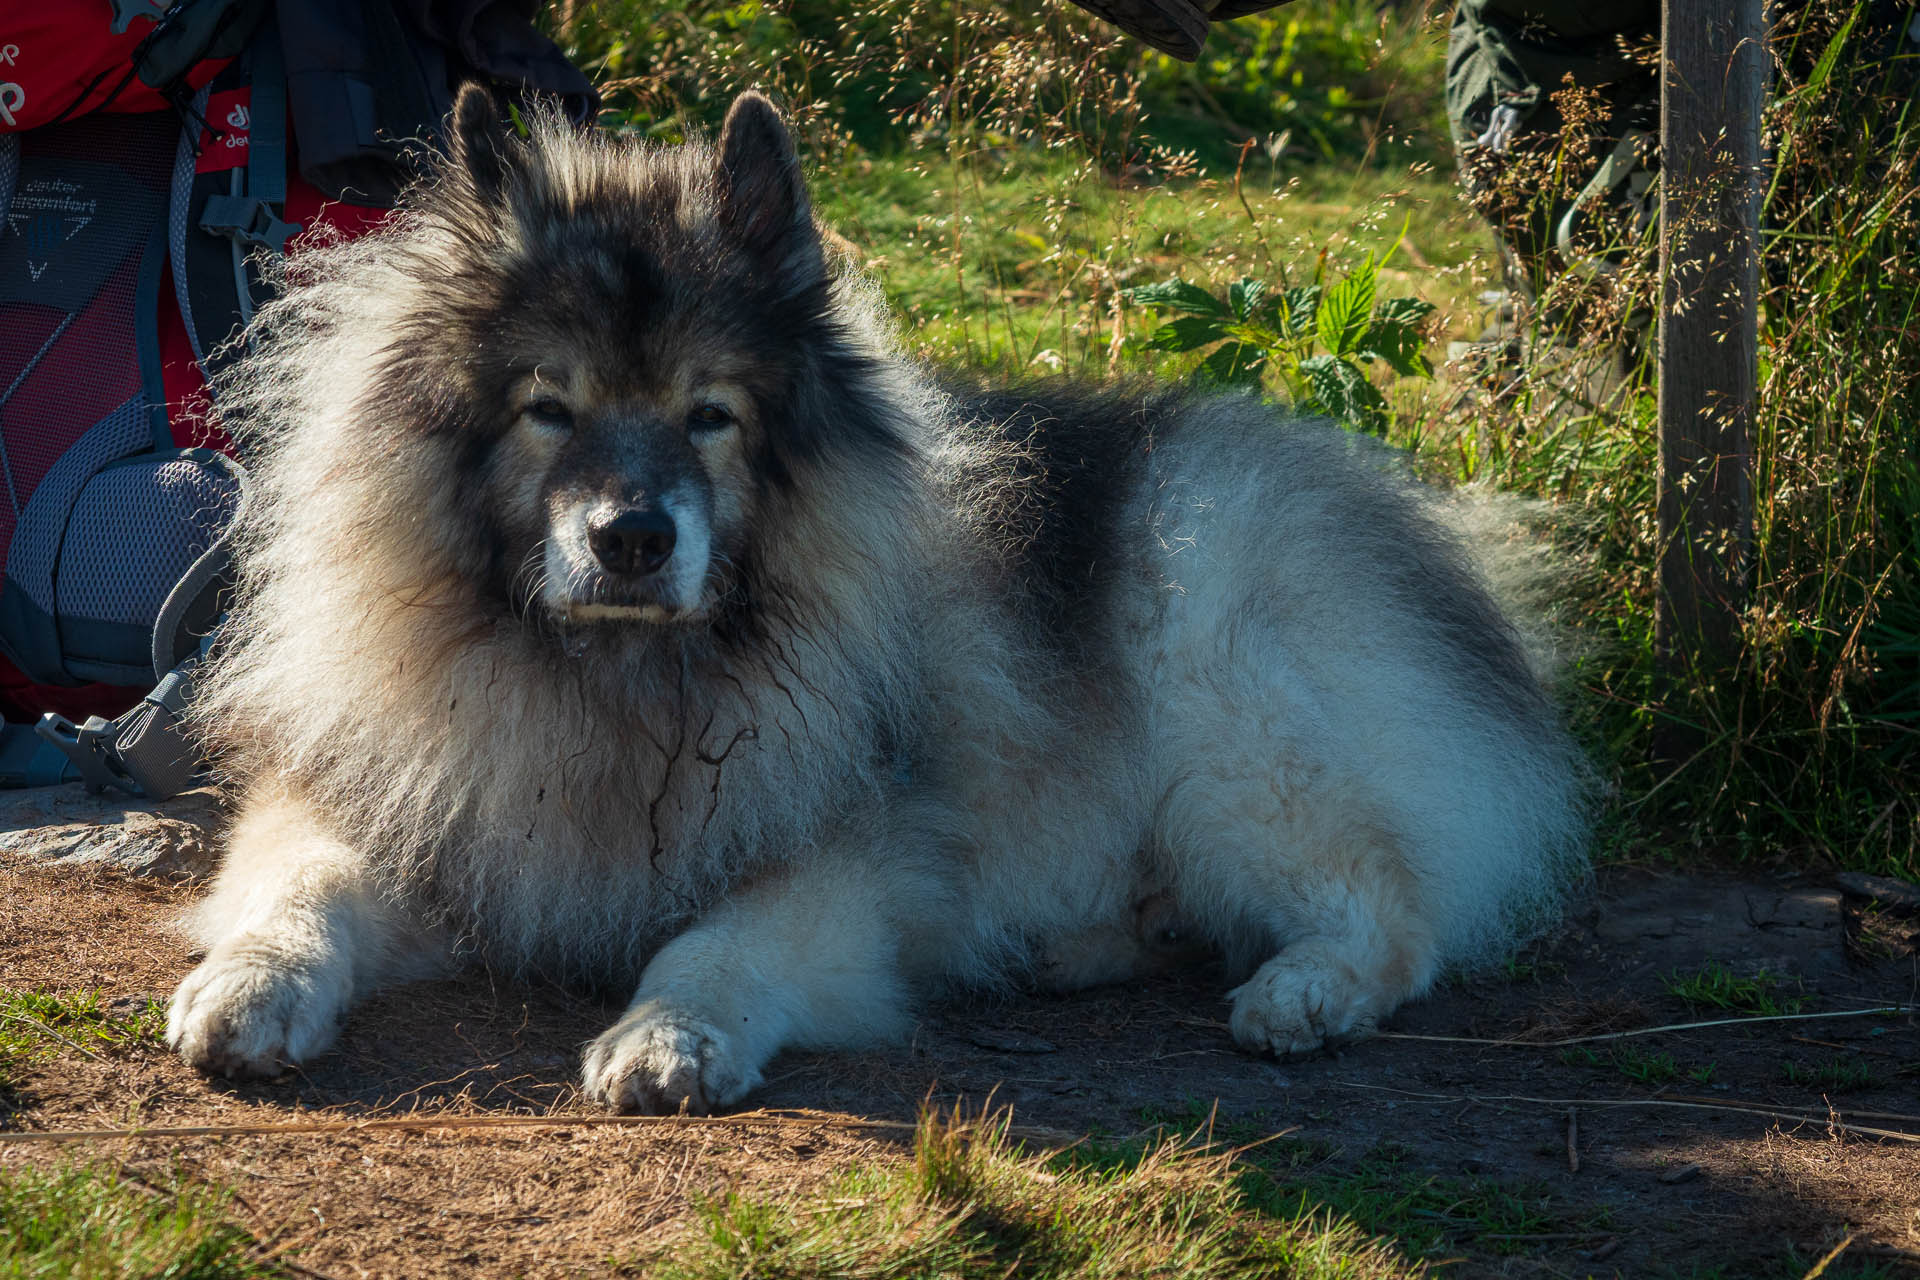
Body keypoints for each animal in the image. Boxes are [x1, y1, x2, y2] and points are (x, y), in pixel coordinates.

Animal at [165, 90, 1582, 1113]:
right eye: (548, 407)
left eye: (711, 414)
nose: (633, 536)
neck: (619, 679)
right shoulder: (392, 794)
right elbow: (301, 884)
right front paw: (249, 983)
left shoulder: (845, 858)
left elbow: (714, 943)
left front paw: (669, 1032)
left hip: (1234, 708)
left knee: (1391, 902)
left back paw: (1302, 991)